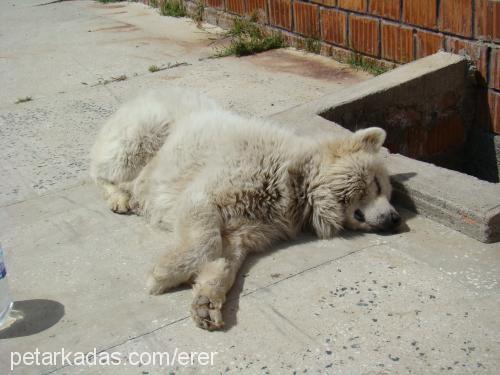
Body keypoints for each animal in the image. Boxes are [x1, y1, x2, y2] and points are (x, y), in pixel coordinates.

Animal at [91, 87, 402, 328]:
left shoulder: (248, 227)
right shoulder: (208, 192)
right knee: (103, 170)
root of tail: (141, 95)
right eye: (377, 184)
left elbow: (226, 257)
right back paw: (120, 196)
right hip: (146, 136)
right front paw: (164, 274)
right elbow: (206, 241)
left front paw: (207, 301)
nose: (396, 219)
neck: (295, 181)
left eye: (386, 191)